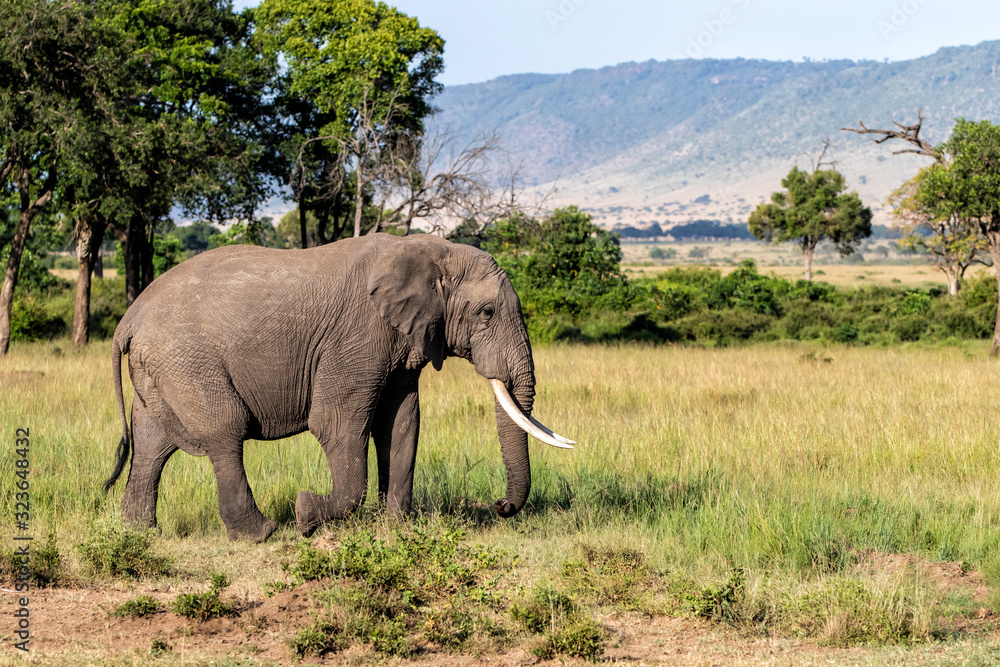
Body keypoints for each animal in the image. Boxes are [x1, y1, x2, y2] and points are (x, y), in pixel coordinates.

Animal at [104, 233, 573, 542]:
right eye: (487, 312)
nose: (500, 506)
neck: (431, 249)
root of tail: (130, 317)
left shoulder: (400, 344)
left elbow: (402, 425)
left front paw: (396, 530)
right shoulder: (355, 339)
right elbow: (336, 424)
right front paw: (306, 513)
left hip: (161, 368)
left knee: (152, 442)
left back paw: (139, 532)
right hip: (187, 361)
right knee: (224, 432)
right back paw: (262, 533)